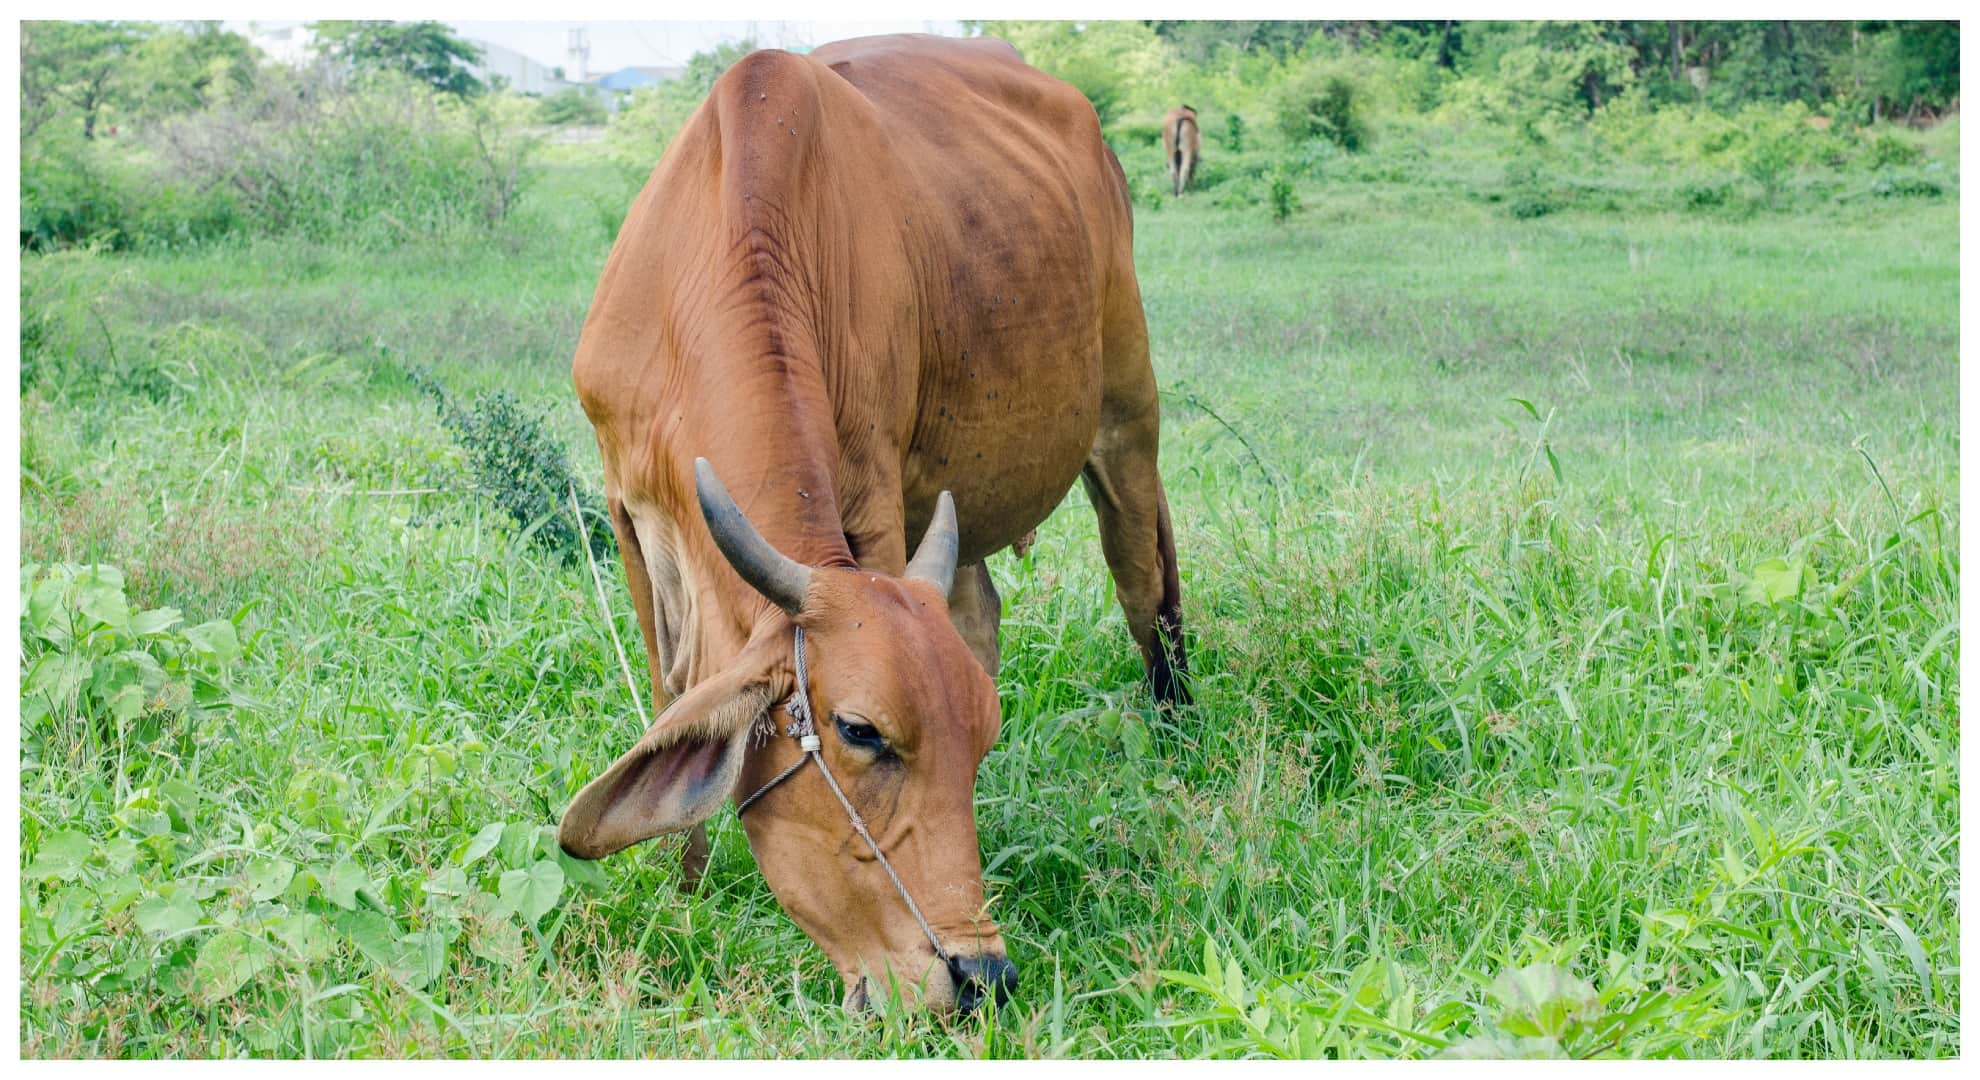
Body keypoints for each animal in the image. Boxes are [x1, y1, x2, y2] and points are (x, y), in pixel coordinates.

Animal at [556, 34, 1190, 1014]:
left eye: (981, 741)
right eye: (860, 733)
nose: (979, 977)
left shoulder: (877, 500)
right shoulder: (628, 511)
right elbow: (674, 695)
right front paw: (685, 891)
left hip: (1126, 414)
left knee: (1143, 583)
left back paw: (1176, 734)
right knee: (983, 610)